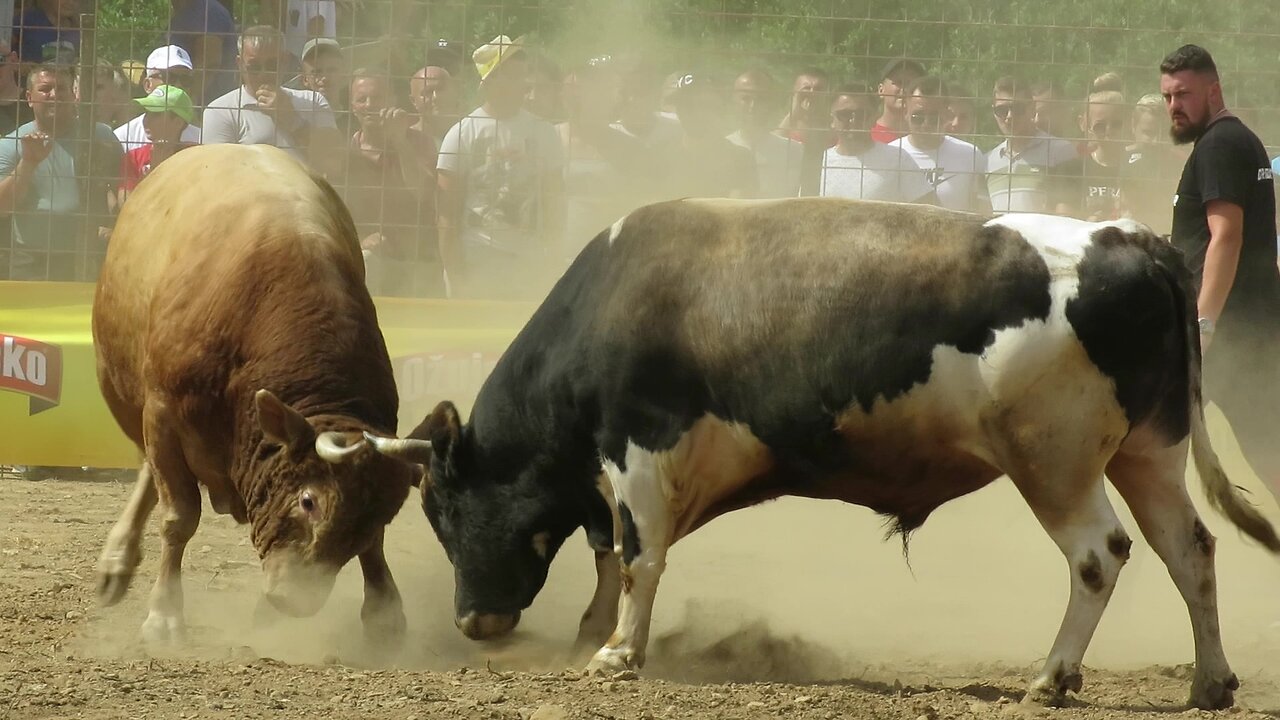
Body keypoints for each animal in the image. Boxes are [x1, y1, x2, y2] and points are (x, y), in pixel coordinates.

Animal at [94, 141, 414, 645]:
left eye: (378, 514)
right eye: (308, 501)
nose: (294, 600)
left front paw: (384, 610)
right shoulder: (162, 411)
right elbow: (178, 517)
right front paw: (164, 614)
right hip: (124, 392)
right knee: (150, 471)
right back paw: (118, 559)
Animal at [363, 196, 1280, 707]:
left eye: (443, 511)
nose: (472, 622)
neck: (617, 299)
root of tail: (1130, 239)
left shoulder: (640, 452)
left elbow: (637, 556)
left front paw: (618, 654)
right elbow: (608, 552)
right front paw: (594, 635)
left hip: (1054, 463)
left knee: (1099, 556)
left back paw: (1052, 678)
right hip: (1147, 453)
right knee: (1189, 550)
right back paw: (1210, 682)